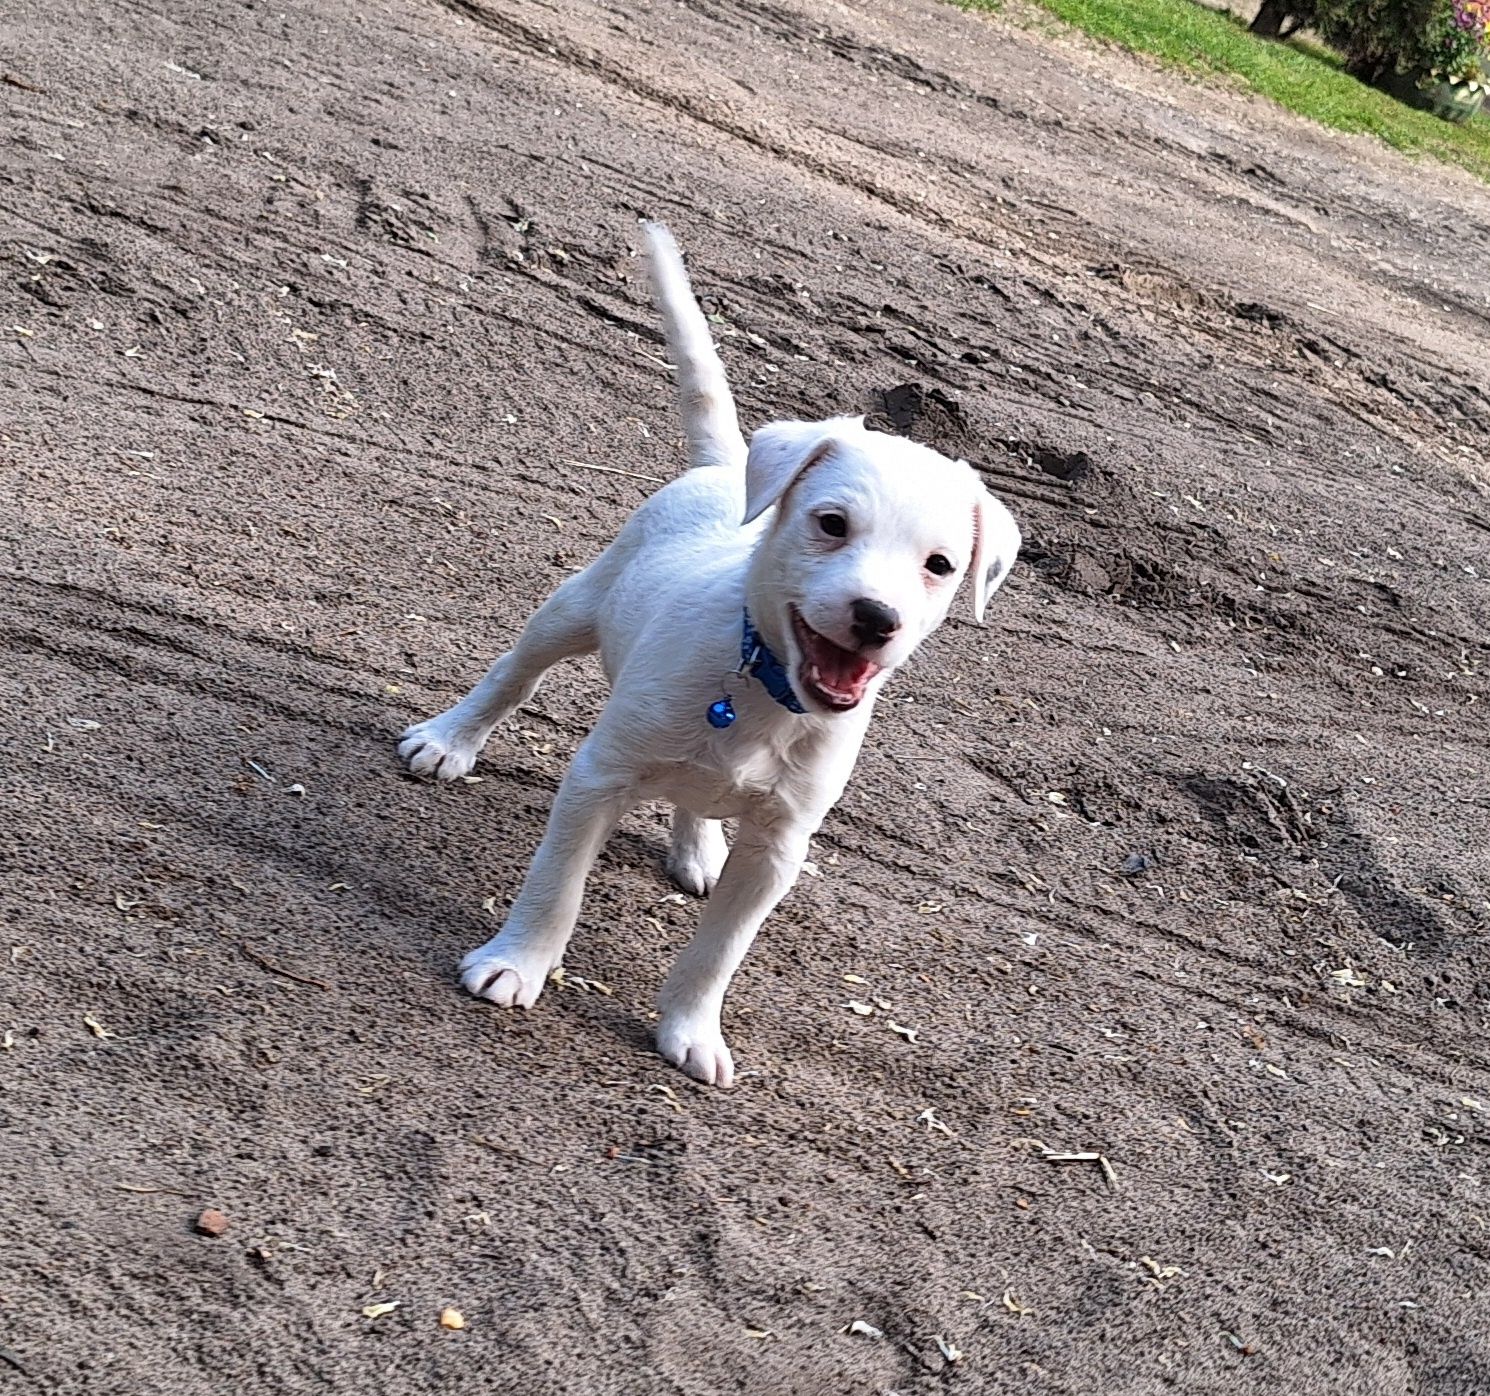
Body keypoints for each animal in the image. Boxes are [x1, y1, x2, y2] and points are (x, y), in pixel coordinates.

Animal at [402, 223, 1019, 1084]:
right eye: (832, 524)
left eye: (940, 565)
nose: (877, 618)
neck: (761, 689)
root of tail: (729, 470)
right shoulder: (598, 778)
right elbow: (557, 885)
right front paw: (516, 964)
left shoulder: (777, 851)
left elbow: (719, 952)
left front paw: (692, 1030)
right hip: (574, 609)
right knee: (512, 676)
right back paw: (449, 739)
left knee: (697, 796)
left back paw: (696, 848)